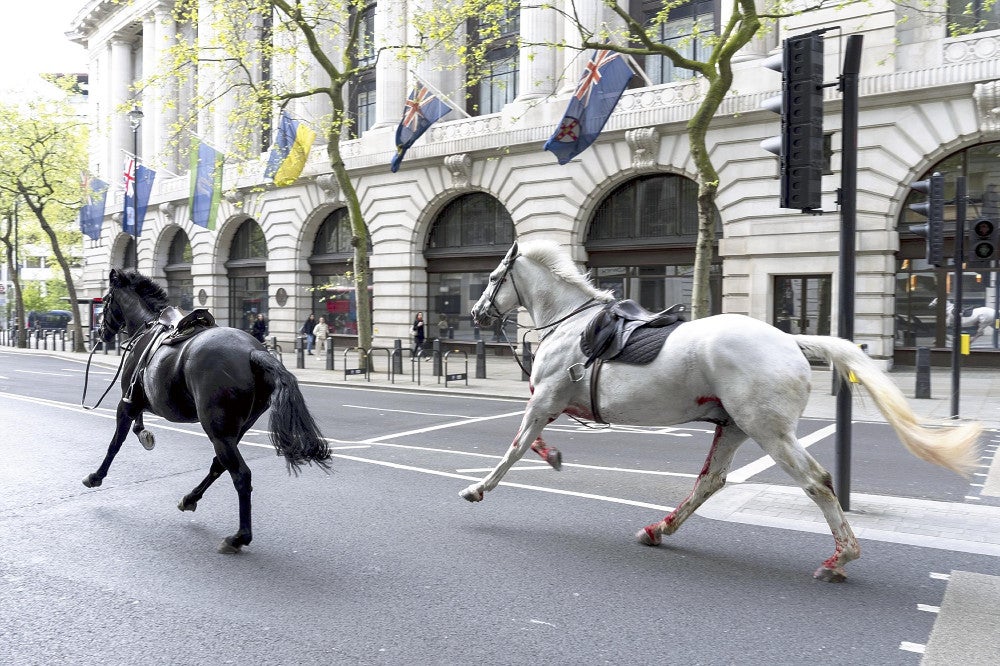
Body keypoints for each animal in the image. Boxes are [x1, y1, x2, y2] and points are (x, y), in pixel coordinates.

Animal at [83, 268, 331, 553]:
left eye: (106, 301)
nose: (100, 332)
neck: (148, 326)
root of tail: (253, 352)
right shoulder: (137, 400)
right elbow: (136, 427)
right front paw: (144, 435)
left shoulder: (128, 402)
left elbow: (115, 443)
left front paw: (96, 476)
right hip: (234, 430)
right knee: (219, 465)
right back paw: (190, 499)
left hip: (217, 429)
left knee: (240, 475)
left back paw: (238, 537)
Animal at [466, 240, 982, 582]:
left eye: (492, 278)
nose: (476, 313)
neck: (570, 324)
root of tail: (792, 341)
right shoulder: (552, 402)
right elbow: (532, 442)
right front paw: (552, 457)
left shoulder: (544, 398)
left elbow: (515, 447)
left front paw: (478, 488)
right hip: (735, 427)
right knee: (711, 481)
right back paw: (659, 528)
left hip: (768, 430)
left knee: (816, 482)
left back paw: (840, 558)